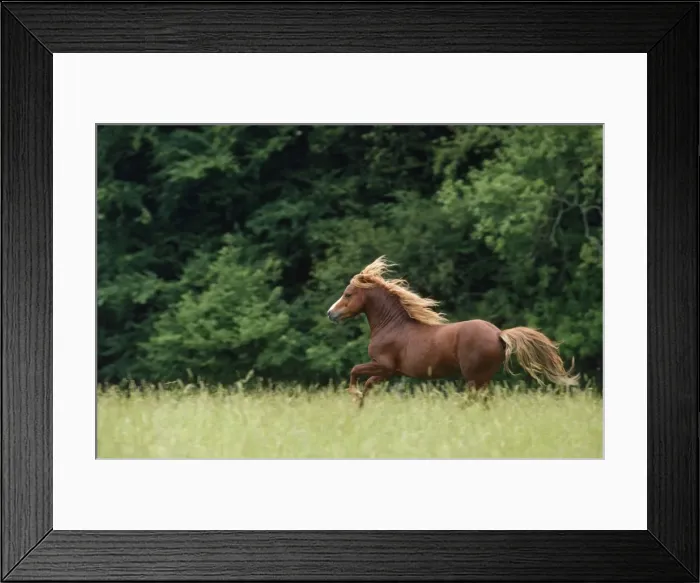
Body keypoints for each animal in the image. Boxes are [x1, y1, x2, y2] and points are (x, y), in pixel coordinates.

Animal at [327, 256, 579, 407]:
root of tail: (499, 334)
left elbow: (354, 371)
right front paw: (360, 405)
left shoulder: (384, 365)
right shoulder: (388, 371)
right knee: (483, 401)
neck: (392, 326)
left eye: (348, 293)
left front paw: (354, 396)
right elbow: (368, 383)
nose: (330, 313)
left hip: (474, 377)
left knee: (473, 400)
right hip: (482, 378)